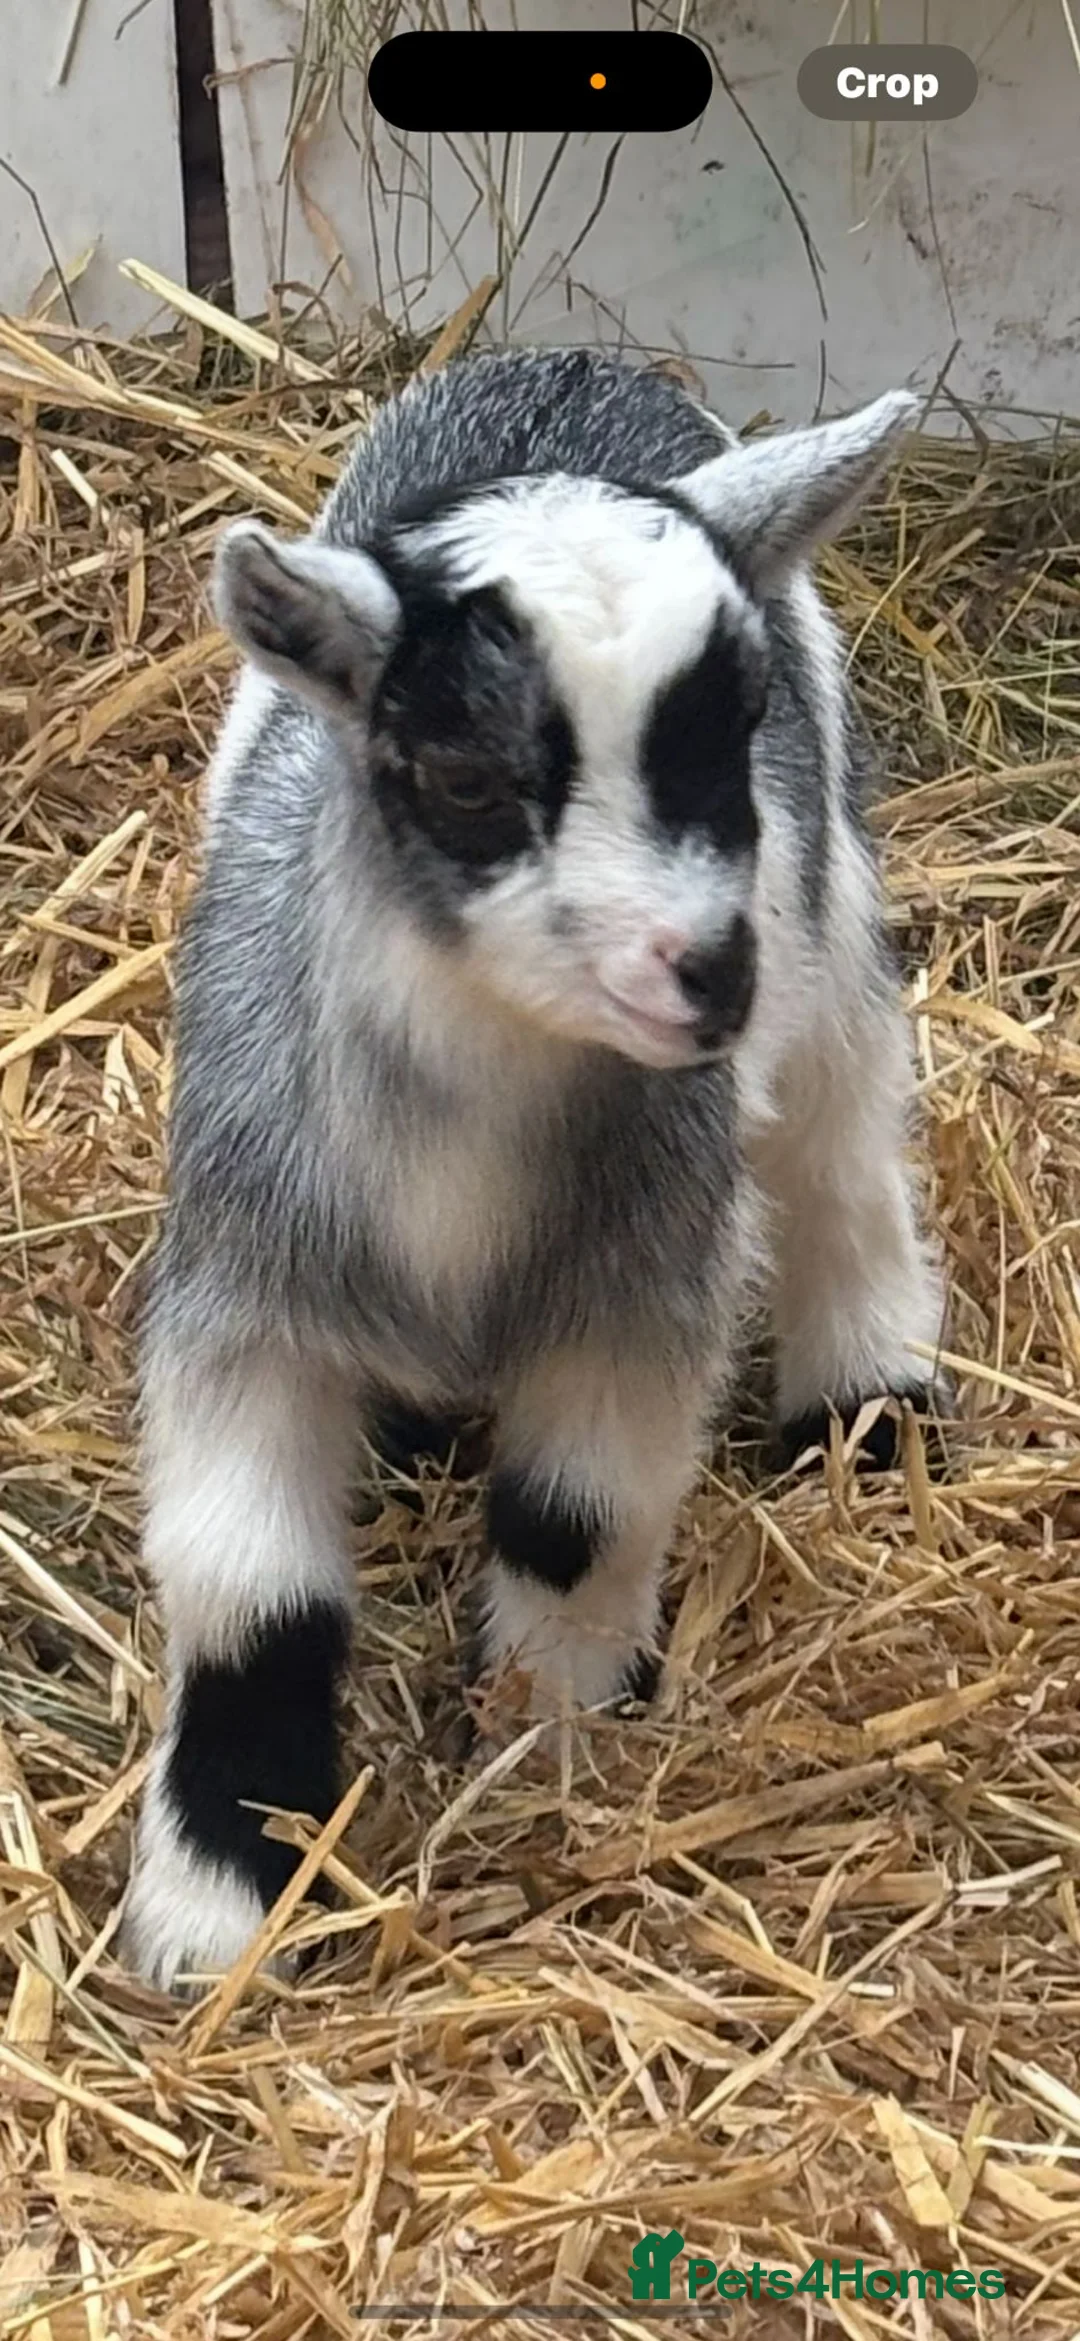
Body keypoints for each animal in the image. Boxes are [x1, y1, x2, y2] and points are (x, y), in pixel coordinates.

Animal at [121, 347, 944, 1989]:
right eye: (458, 773)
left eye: (736, 719)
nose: (711, 975)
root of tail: (572, 359)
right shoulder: (244, 1276)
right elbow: (250, 1594)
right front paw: (212, 1900)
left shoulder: (642, 1274)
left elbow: (575, 1518)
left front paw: (544, 1742)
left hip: (829, 928)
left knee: (840, 1145)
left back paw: (870, 1394)